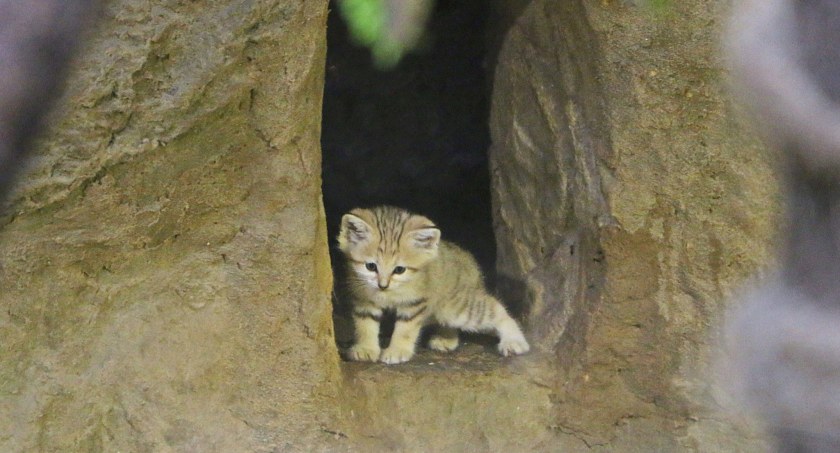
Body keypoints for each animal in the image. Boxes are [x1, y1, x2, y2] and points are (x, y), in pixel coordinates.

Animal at [336, 205, 528, 364]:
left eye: (399, 270)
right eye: (370, 266)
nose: (382, 285)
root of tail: (469, 261)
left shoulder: (414, 303)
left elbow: (404, 329)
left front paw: (397, 351)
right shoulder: (363, 299)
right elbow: (365, 324)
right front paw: (366, 349)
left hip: (454, 308)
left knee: (497, 309)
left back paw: (515, 341)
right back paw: (446, 339)